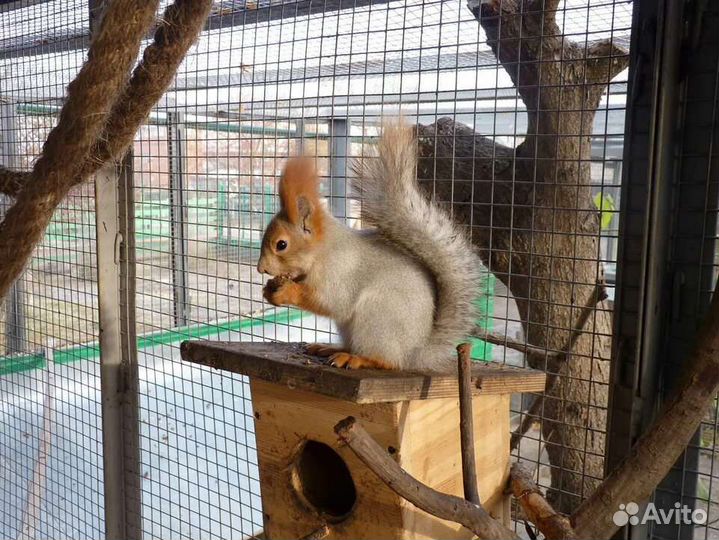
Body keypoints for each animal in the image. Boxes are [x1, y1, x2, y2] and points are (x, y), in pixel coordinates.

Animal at [256, 121, 481, 371]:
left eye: (281, 244)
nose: (261, 268)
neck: (322, 251)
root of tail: (413, 353)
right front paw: (270, 289)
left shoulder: (340, 271)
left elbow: (332, 301)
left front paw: (286, 291)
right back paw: (331, 348)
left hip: (376, 317)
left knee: (386, 361)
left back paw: (356, 358)